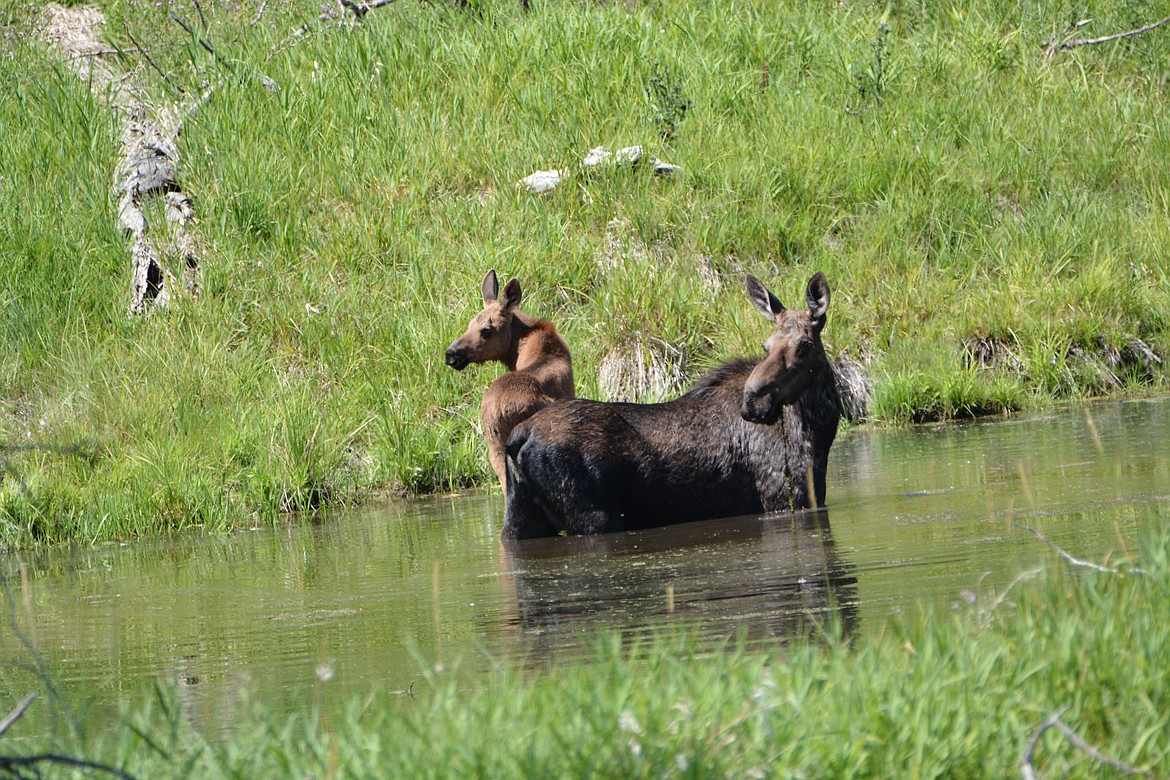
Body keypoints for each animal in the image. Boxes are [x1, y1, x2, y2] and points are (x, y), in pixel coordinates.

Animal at [503, 271, 842, 540]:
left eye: (804, 345)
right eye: (766, 346)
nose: (754, 400)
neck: (819, 433)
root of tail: (518, 437)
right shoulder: (782, 500)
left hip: (520, 519)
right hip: (594, 518)